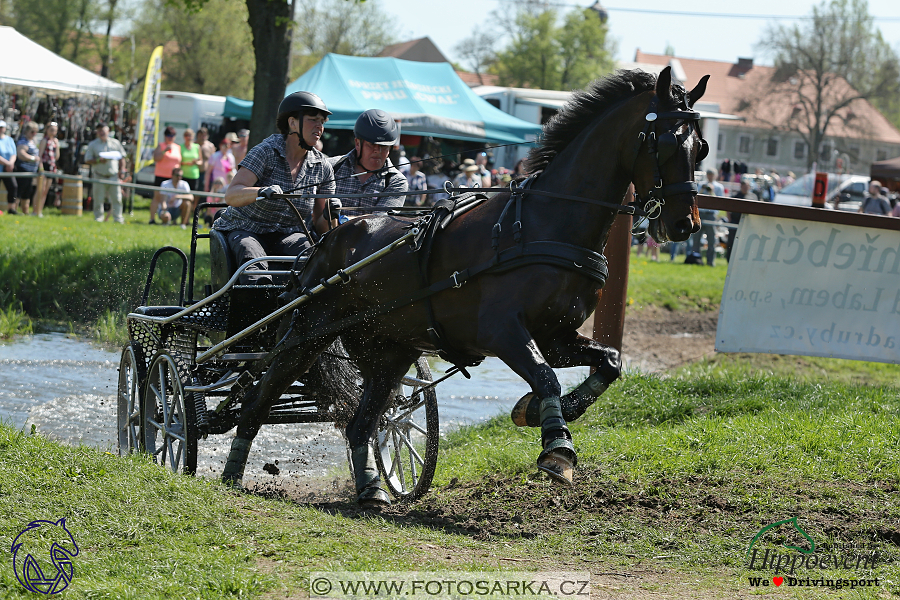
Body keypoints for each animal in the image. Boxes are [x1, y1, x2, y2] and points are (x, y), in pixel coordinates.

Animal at [225, 68, 712, 504]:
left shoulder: (554, 336)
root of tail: (328, 237)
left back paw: (370, 491)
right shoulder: (504, 332)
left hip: (388, 352)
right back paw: (230, 474)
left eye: (701, 147)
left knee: (364, 423)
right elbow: (546, 377)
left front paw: (542, 412)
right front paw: (557, 448)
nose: (685, 225)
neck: (546, 222)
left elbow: (608, 363)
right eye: (667, 142)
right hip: (307, 335)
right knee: (258, 402)